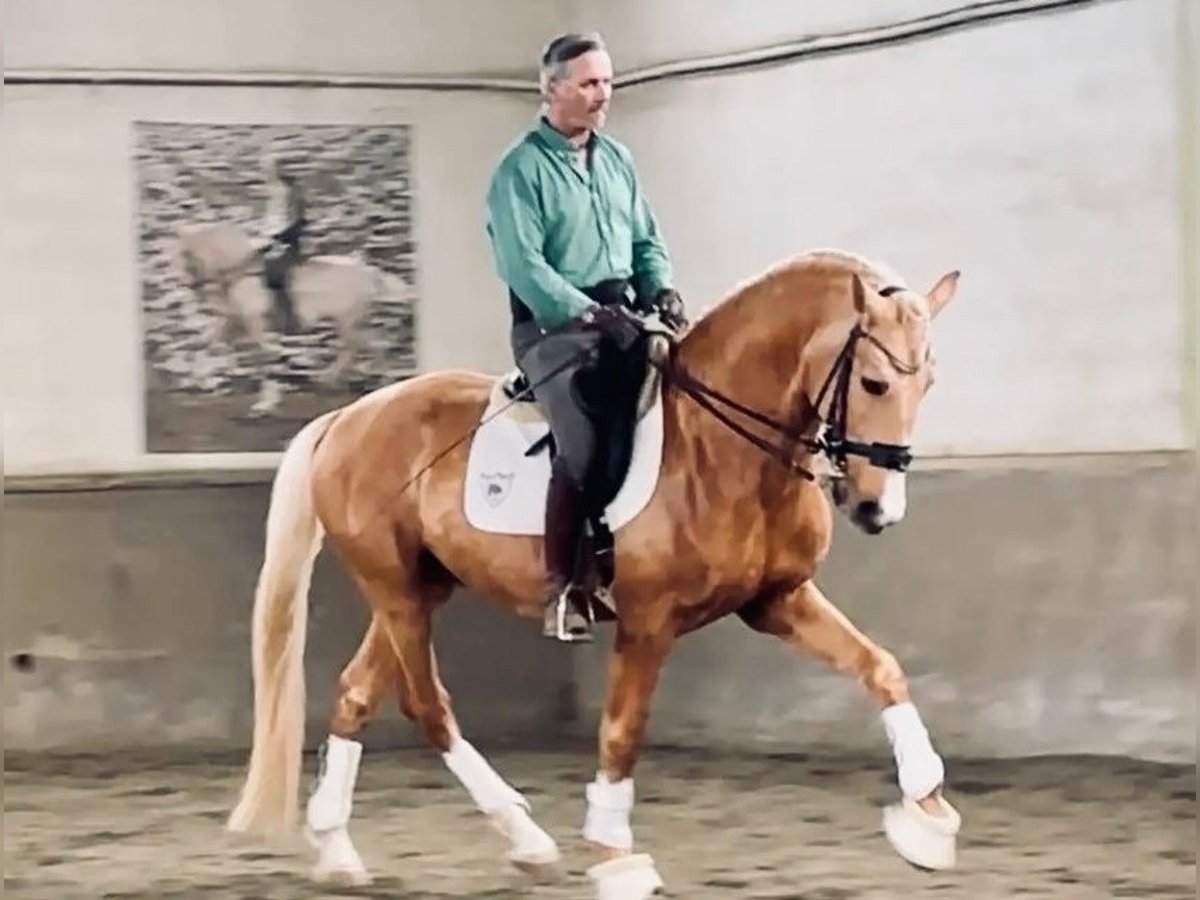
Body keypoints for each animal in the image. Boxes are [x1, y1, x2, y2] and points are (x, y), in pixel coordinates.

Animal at [171, 220, 410, 417]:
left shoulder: (255, 324)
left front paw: (265, 405)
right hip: (348, 322)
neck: (242, 276)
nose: (190, 287)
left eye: (185, 253)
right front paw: (198, 379)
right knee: (362, 346)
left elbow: (264, 356)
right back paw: (334, 379)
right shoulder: (234, 321)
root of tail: (368, 271)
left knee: (361, 346)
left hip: (347, 321)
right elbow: (205, 344)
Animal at [225, 248, 964, 900]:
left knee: (356, 693)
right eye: (874, 382)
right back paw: (521, 837)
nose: (877, 508)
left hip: (421, 589)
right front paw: (615, 860)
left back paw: (344, 852)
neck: (720, 449)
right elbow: (621, 732)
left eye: (927, 383)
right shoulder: (648, 622)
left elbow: (881, 667)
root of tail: (348, 419)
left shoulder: (778, 599)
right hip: (397, 591)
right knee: (427, 706)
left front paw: (927, 820)